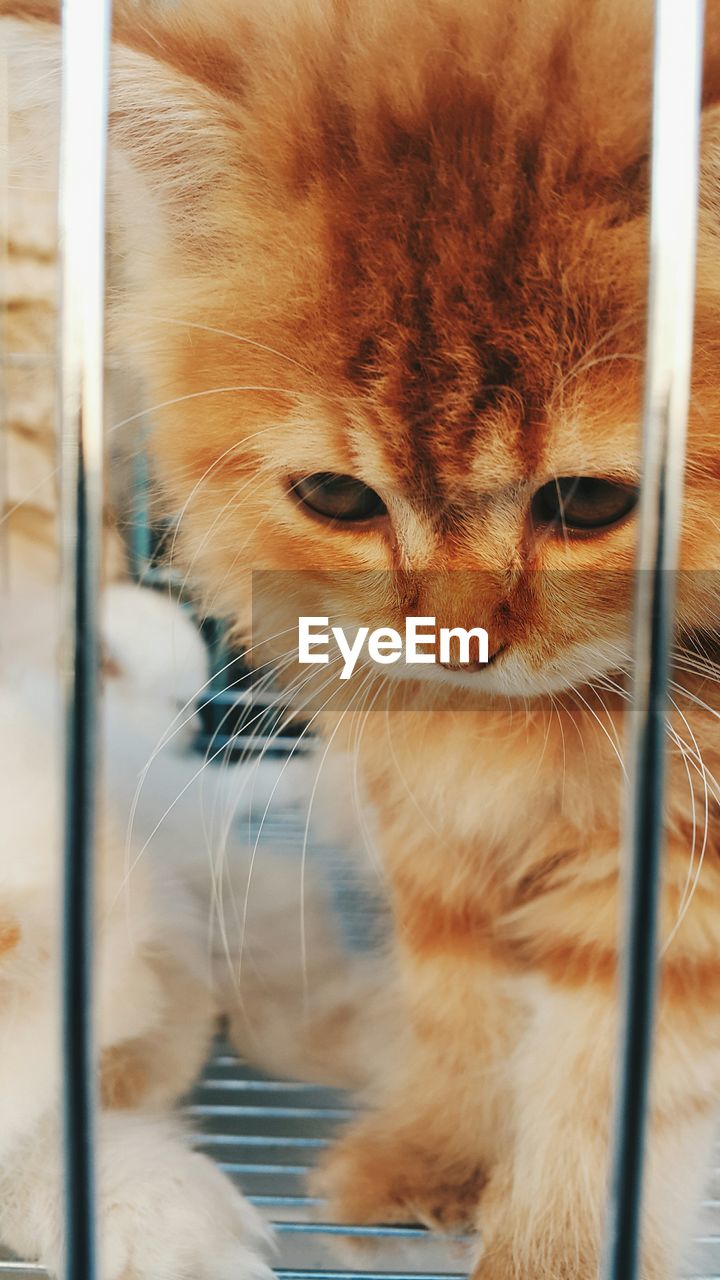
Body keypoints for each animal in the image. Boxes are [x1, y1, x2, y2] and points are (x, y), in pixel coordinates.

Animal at [4, 0, 717, 1274]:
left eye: (592, 502)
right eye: (336, 497)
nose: (456, 647)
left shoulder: (680, 875)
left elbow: (606, 1087)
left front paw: (550, 1246)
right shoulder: (427, 824)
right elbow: (462, 997)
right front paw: (436, 1155)